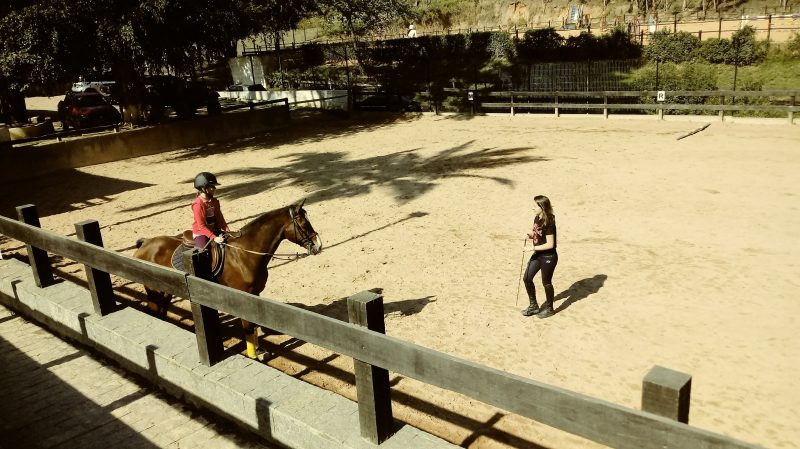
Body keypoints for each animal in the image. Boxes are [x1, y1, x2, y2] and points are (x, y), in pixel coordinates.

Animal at [132, 200, 322, 356]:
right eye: (303, 224)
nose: (318, 245)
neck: (245, 253)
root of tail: (146, 243)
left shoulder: (255, 295)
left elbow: (253, 326)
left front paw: (259, 350)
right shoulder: (243, 297)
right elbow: (248, 327)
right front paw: (254, 355)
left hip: (166, 289)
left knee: (162, 310)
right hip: (154, 290)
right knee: (155, 309)